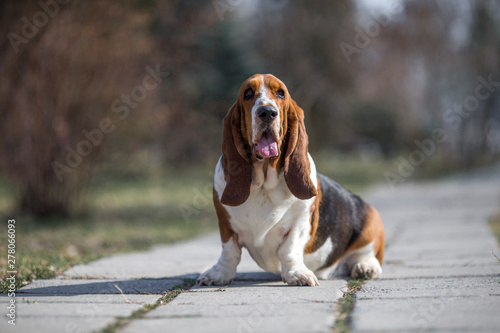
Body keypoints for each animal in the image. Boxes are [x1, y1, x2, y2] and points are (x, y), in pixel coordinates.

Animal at [197, 74, 384, 286]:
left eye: (280, 93)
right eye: (248, 93)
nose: (267, 112)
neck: (263, 185)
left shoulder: (300, 222)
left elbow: (289, 249)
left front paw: (297, 274)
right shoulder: (225, 223)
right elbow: (229, 251)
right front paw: (218, 274)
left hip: (372, 225)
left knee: (369, 256)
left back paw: (365, 267)